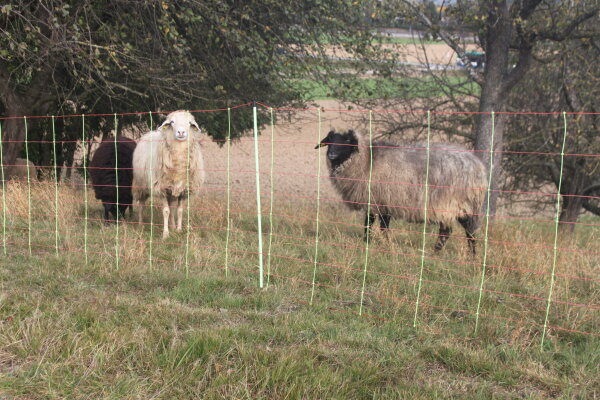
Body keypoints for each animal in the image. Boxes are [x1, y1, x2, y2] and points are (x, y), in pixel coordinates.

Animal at [132, 110, 205, 238]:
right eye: (172, 122)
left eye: (189, 123)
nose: (181, 132)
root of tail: (151, 132)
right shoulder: (161, 188)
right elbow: (166, 211)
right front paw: (165, 234)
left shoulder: (183, 190)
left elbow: (179, 211)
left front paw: (179, 230)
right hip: (140, 185)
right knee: (141, 205)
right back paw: (140, 224)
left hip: (171, 190)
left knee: (172, 208)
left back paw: (173, 226)